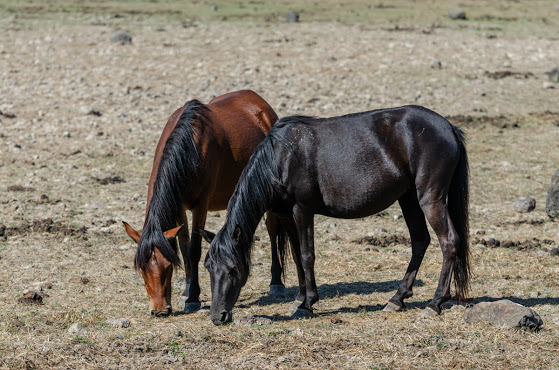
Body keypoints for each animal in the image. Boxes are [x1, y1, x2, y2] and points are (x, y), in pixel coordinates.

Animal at [123, 91, 288, 316]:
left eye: (168, 267)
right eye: (142, 268)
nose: (160, 310)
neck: (189, 149)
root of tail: (260, 105)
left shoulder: (200, 206)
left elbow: (194, 250)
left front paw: (192, 298)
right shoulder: (180, 207)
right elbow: (184, 247)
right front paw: (187, 291)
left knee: (272, 231)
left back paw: (276, 283)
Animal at [203, 105, 470, 326]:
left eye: (233, 269)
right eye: (208, 267)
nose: (218, 317)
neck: (280, 158)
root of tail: (448, 127)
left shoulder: (302, 209)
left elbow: (307, 255)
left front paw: (308, 304)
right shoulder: (286, 215)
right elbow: (297, 257)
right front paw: (299, 299)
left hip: (429, 199)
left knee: (449, 242)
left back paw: (435, 303)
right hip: (408, 199)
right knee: (419, 241)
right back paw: (397, 299)